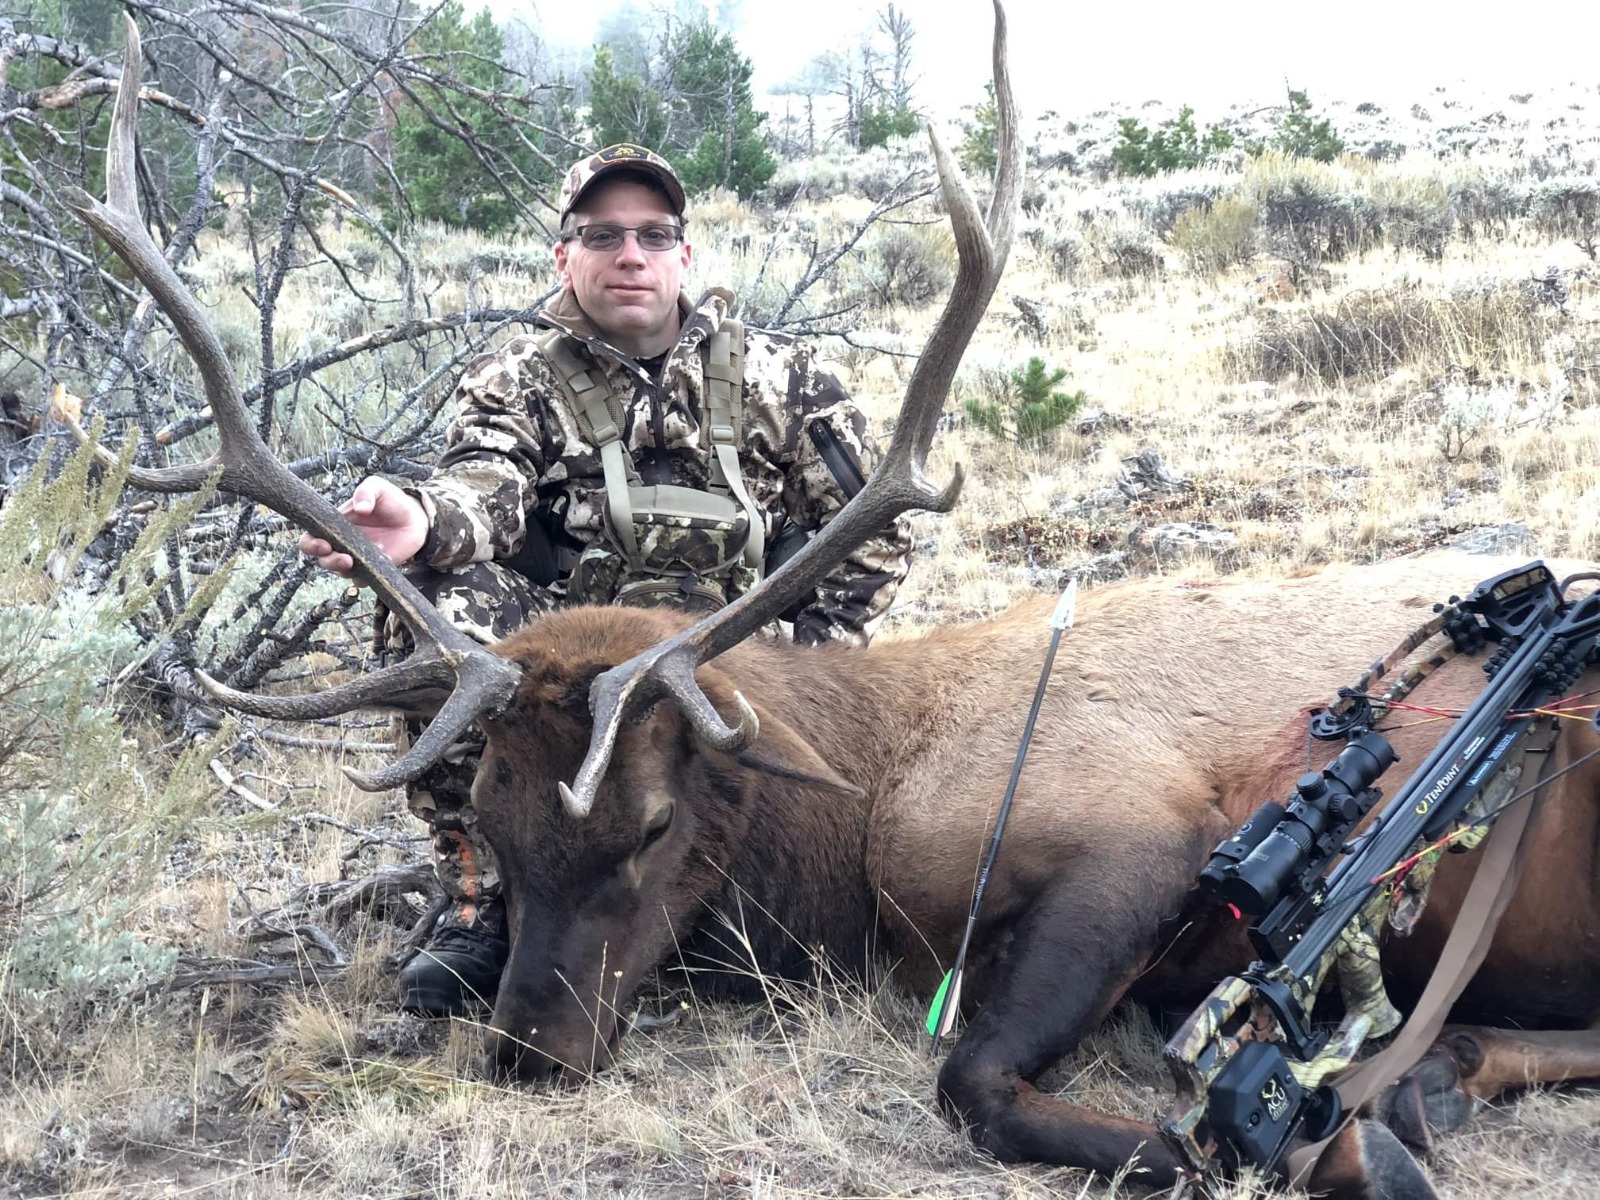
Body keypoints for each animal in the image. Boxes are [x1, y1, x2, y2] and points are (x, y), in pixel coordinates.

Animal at [62, 11, 1600, 1200]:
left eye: (655, 822)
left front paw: (1286, 1141)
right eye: (485, 819)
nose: (528, 1051)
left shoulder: (1144, 837)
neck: (862, 810)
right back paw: (1436, 1077)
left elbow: (979, 1080)